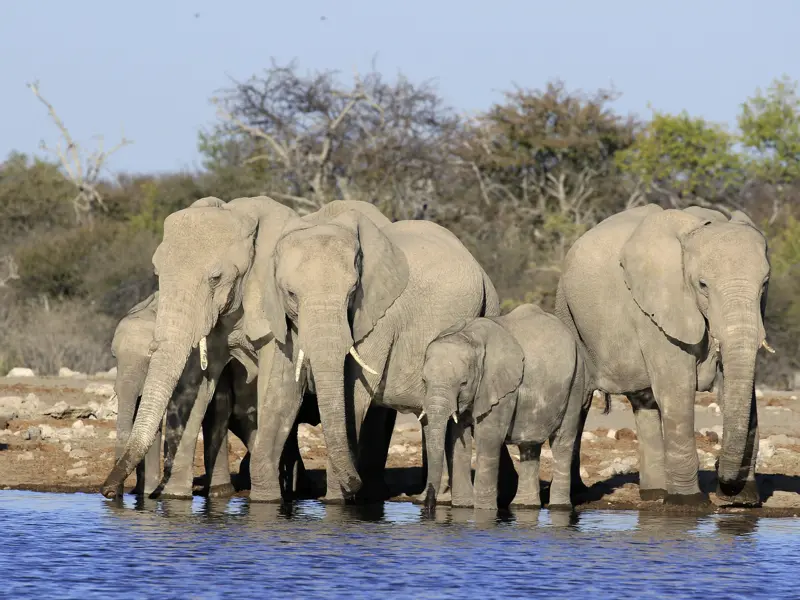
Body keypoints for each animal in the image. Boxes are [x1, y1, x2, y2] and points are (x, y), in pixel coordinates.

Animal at [247, 209, 496, 504]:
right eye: (291, 294)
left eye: (353, 291)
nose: (356, 483)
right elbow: (282, 394)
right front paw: (264, 500)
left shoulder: (379, 316)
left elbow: (353, 395)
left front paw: (337, 501)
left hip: (485, 308)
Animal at [422, 304, 584, 510]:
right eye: (424, 381)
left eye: (463, 383)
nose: (428, 507)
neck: (469, 335)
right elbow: (457, 439)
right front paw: (462, 507)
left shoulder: (501, 387)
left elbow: (488, 437)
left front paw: (483, 510)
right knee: (529, 446)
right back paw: (524, 506)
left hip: (576, 381)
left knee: (562, 441)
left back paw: (559, 507)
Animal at [552, 204, 772, 504]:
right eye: (702, 285)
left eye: (765, 284)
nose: (723, 479)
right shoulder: (656, 309)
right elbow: (677, 388)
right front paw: (689, 504)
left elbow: (738, 389)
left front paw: (743, 500)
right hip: (568, 313)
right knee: (581, 401)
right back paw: (580, 495)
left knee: (643, 401)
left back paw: (653, 493)